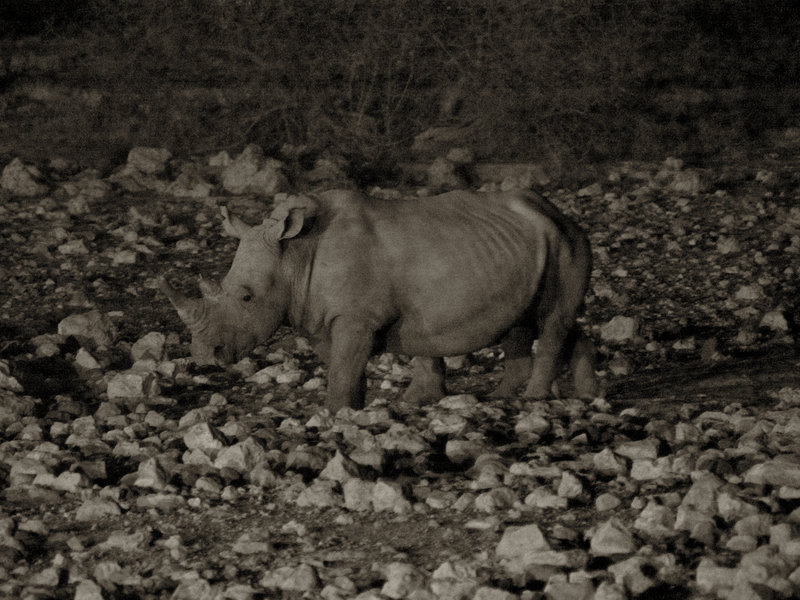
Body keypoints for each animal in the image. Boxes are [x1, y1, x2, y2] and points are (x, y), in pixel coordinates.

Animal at [160, 189, 596, 410]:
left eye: (247, 297)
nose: (205, 356)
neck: (294, 256)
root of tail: (560, 213)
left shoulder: (355, 316)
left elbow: (343, 368)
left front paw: (336, 414)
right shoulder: (324, 316)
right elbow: (345, 366)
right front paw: (356, 409)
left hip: (566, 242)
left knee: (551, 319)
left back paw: (535, 399)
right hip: (535, 245)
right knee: (531, 319)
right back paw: (551, 396)